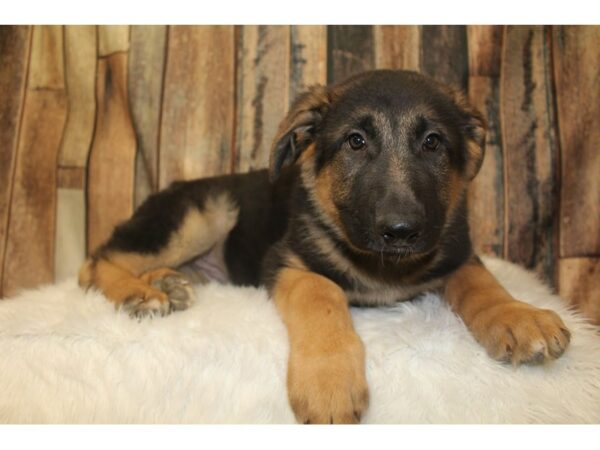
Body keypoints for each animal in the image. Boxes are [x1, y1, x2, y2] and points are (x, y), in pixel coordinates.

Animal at [77, 71, 568, 426]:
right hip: (203, 212)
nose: (401, 231)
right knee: (101, 258)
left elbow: (480, 280)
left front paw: (519, 316)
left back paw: (167, 283)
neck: (383, 266)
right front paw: (329, 381)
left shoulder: (453, 250)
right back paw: (139, 293)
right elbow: (323, 294)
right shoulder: (287, 262)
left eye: (433, 143)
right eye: (356, 141)